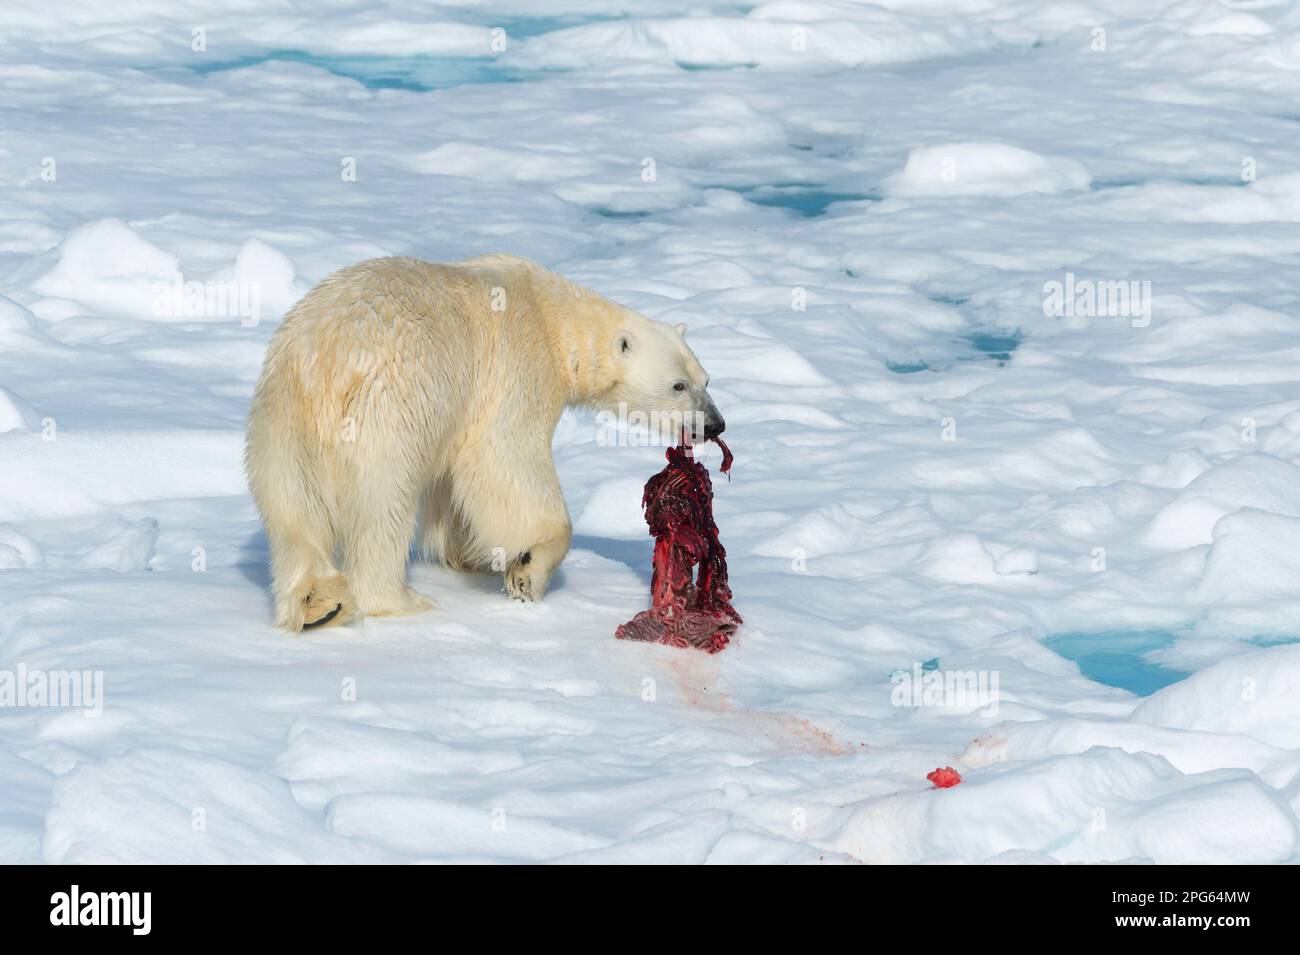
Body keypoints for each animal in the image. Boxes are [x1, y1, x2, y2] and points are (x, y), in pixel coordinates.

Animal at [244, 254, 728, 631]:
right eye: (678, 386)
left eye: (706, 380)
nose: (715, 425)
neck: (554, 318)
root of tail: (328, 357)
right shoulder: (518, 366)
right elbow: (504, 458)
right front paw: (527, 570)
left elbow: (454, 487)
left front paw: (470, 556)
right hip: (390, 403)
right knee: (382, 501)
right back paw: (398, 600)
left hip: (282, 408)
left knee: (290, 503)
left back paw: (319, 603)